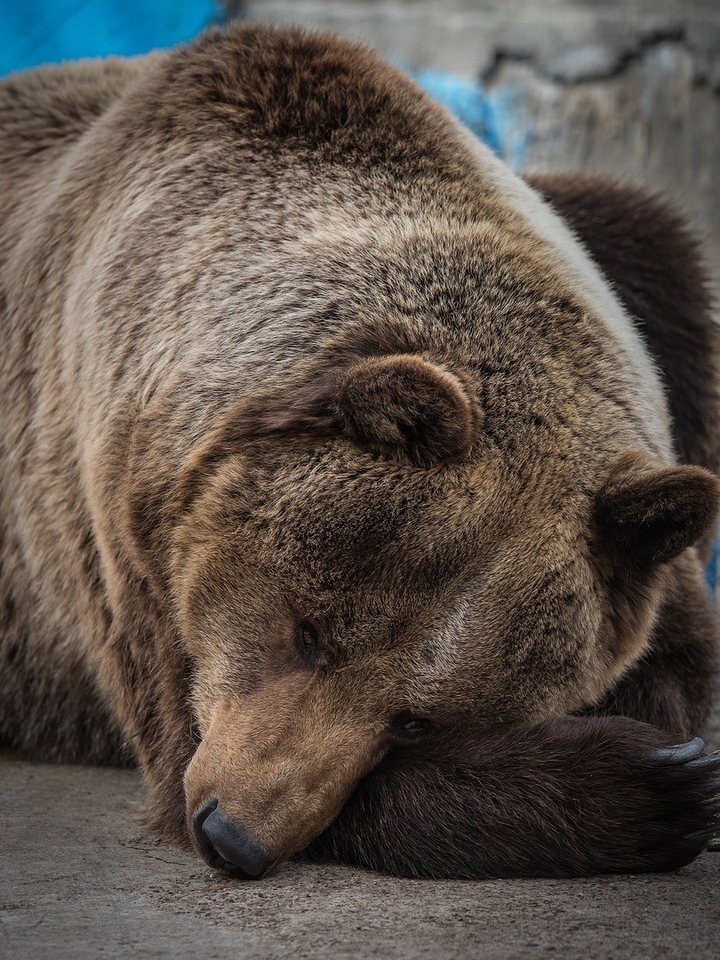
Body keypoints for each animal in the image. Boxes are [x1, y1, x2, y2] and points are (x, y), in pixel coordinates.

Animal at [0, 24, 716, 876]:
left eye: (416, 719)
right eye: (307, 632)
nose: (233, 833)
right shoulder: (123, 532)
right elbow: (182, 739)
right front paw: (647, 782)